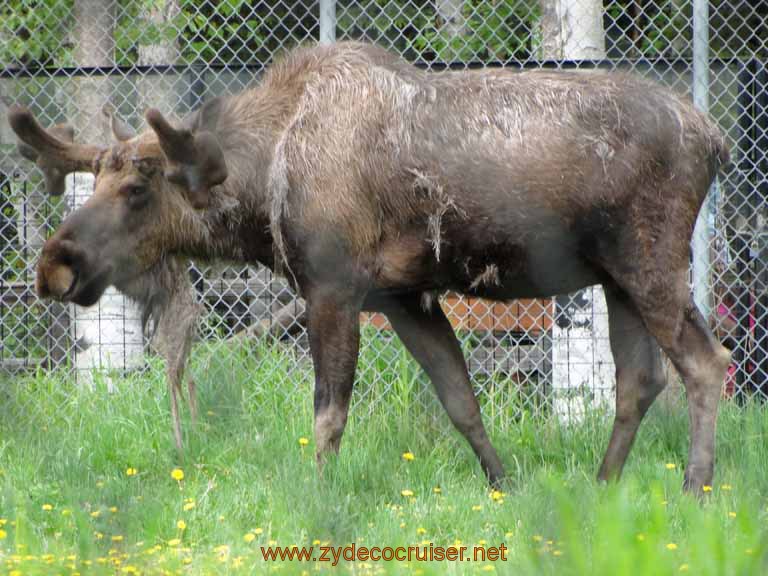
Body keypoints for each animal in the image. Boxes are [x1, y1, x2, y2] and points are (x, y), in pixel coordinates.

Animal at [12, 40, 732, 492]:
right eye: (96, 179)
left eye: (137, 189)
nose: (55, 265)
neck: (265, 174)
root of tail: (716, 139)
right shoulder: (403, 297)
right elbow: (460, 400)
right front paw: (504, 484)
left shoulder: (332, 288)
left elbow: (327, 415)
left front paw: (320, 499)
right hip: (615, 278)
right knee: (639, 380)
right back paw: (603, 486)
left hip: (651, 259)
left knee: (705, 361)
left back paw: (695, 488)